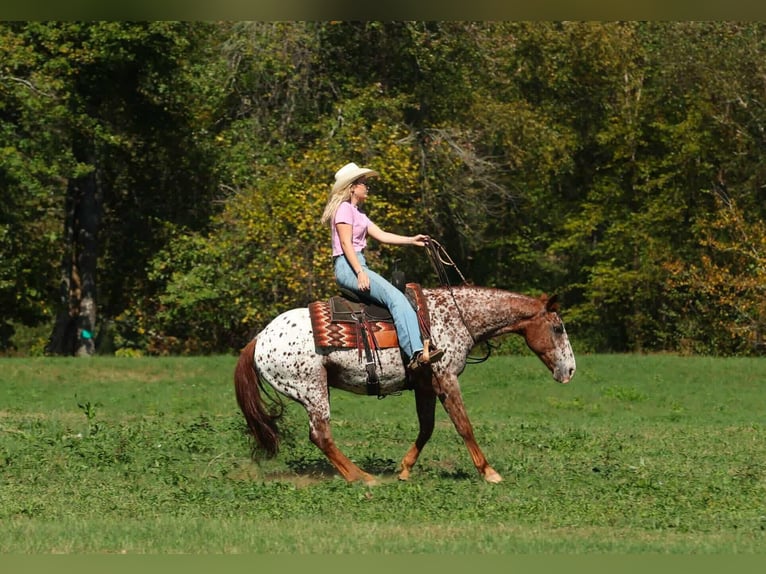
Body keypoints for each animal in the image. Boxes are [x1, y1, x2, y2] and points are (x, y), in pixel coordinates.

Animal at [234, 284, 576, 485]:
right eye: (558, 328)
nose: (570, 370)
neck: (454, 316)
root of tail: (259, 339)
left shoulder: (425, 385)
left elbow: (427, 428)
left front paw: (405, 469)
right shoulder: (446, 378)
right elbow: (464, 426)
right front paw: (489, 472)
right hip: (312, 389)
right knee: (321, 435)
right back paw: (362, 477)